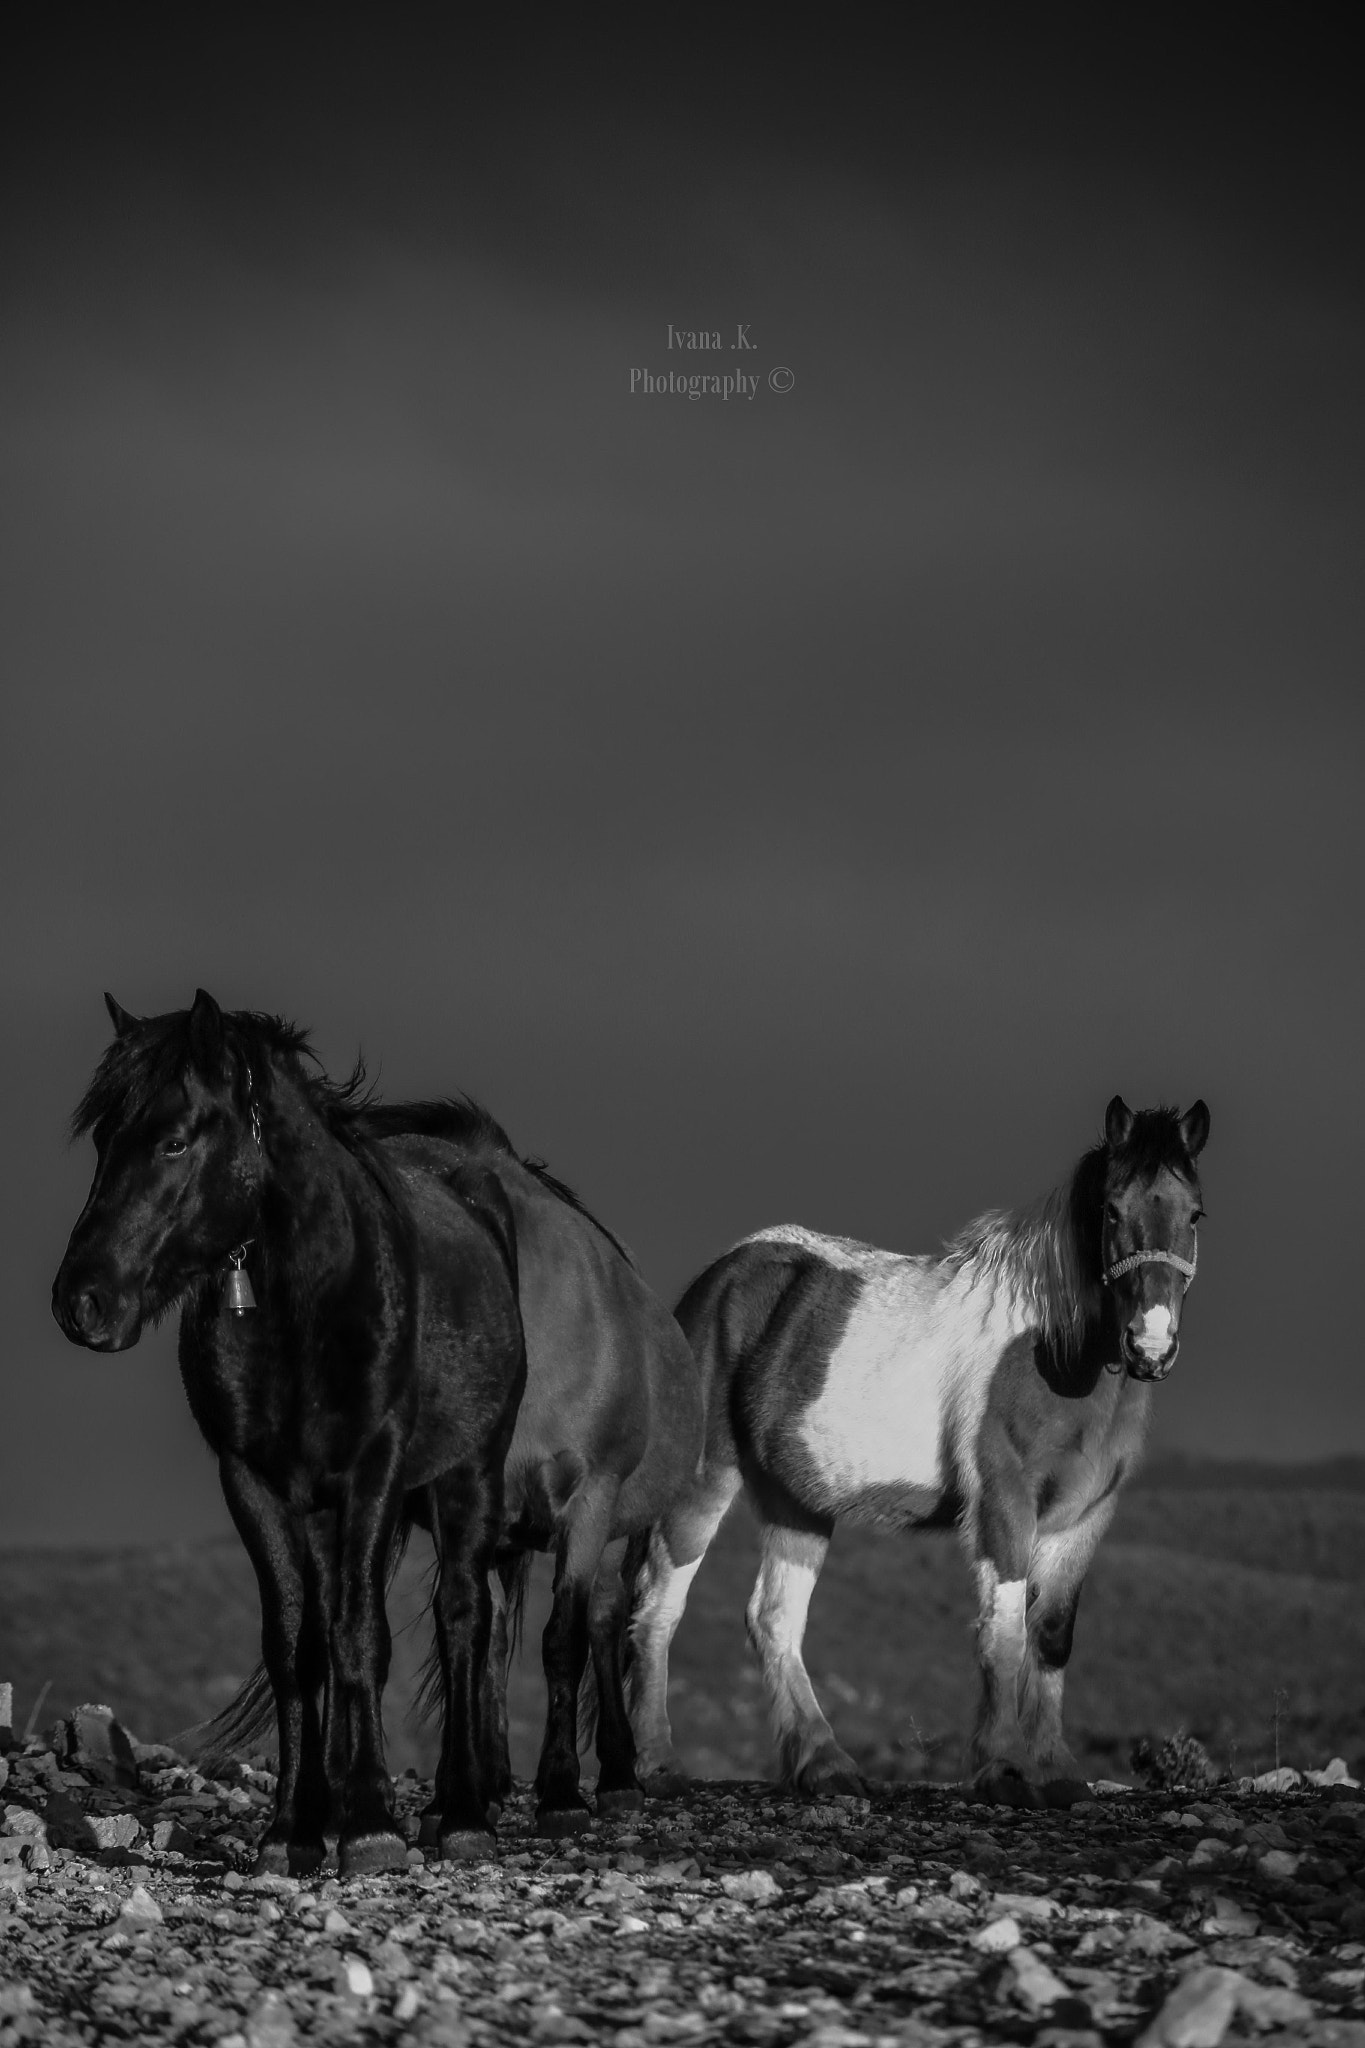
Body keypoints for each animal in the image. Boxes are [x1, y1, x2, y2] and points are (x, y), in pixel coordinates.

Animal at [53, 991, 527, 1875]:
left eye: (174, 1138)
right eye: (102, 1138)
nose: (83, 1302)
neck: (313, 1300)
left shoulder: (373, 1471)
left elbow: (360, 1638)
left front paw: (371, 1826)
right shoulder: (255, 1482)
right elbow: (297, 1647)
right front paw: (293, 1830)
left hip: (467, 1476)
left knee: (460, 1620)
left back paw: (459, 1813)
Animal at [626, 1105, 1211, 1794]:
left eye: (1195, 1213)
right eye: (1112, 1211)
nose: (1151, 1344)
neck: (1051, 1345)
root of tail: (717, 1279)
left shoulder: (1086, 1515)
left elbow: (1051, 1635)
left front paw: (1057, 1770)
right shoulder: (1003, 1500)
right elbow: (1004, 1632)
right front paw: (1002, 1766)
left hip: (796, 1498)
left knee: (774, 1620)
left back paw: (825, 1763)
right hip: (705, 1478)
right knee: (660, 1603)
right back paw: (658, 1761)